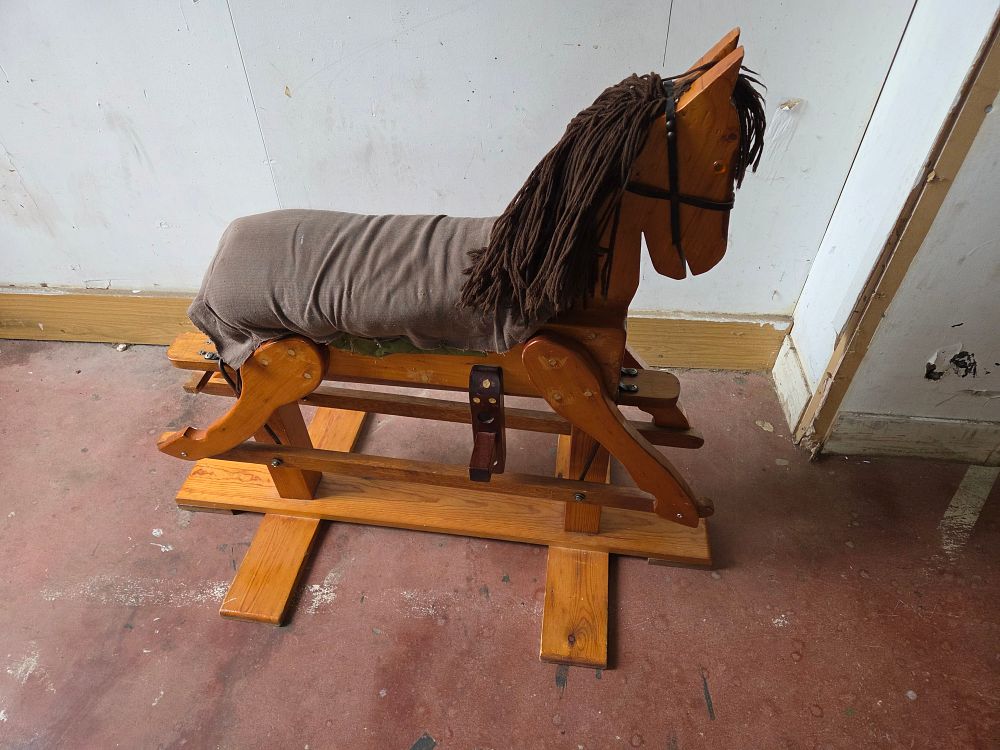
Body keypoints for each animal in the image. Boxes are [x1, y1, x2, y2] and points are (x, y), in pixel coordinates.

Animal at [158, 29, 764, 532]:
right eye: (722, 154)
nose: (710, 257)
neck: (576, 294)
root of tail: (214, 273)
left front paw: (666, 430)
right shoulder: (561, 366)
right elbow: (630, 448)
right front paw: (682, 504)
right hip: (287, 358)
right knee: (267, 428)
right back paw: (205, 448)